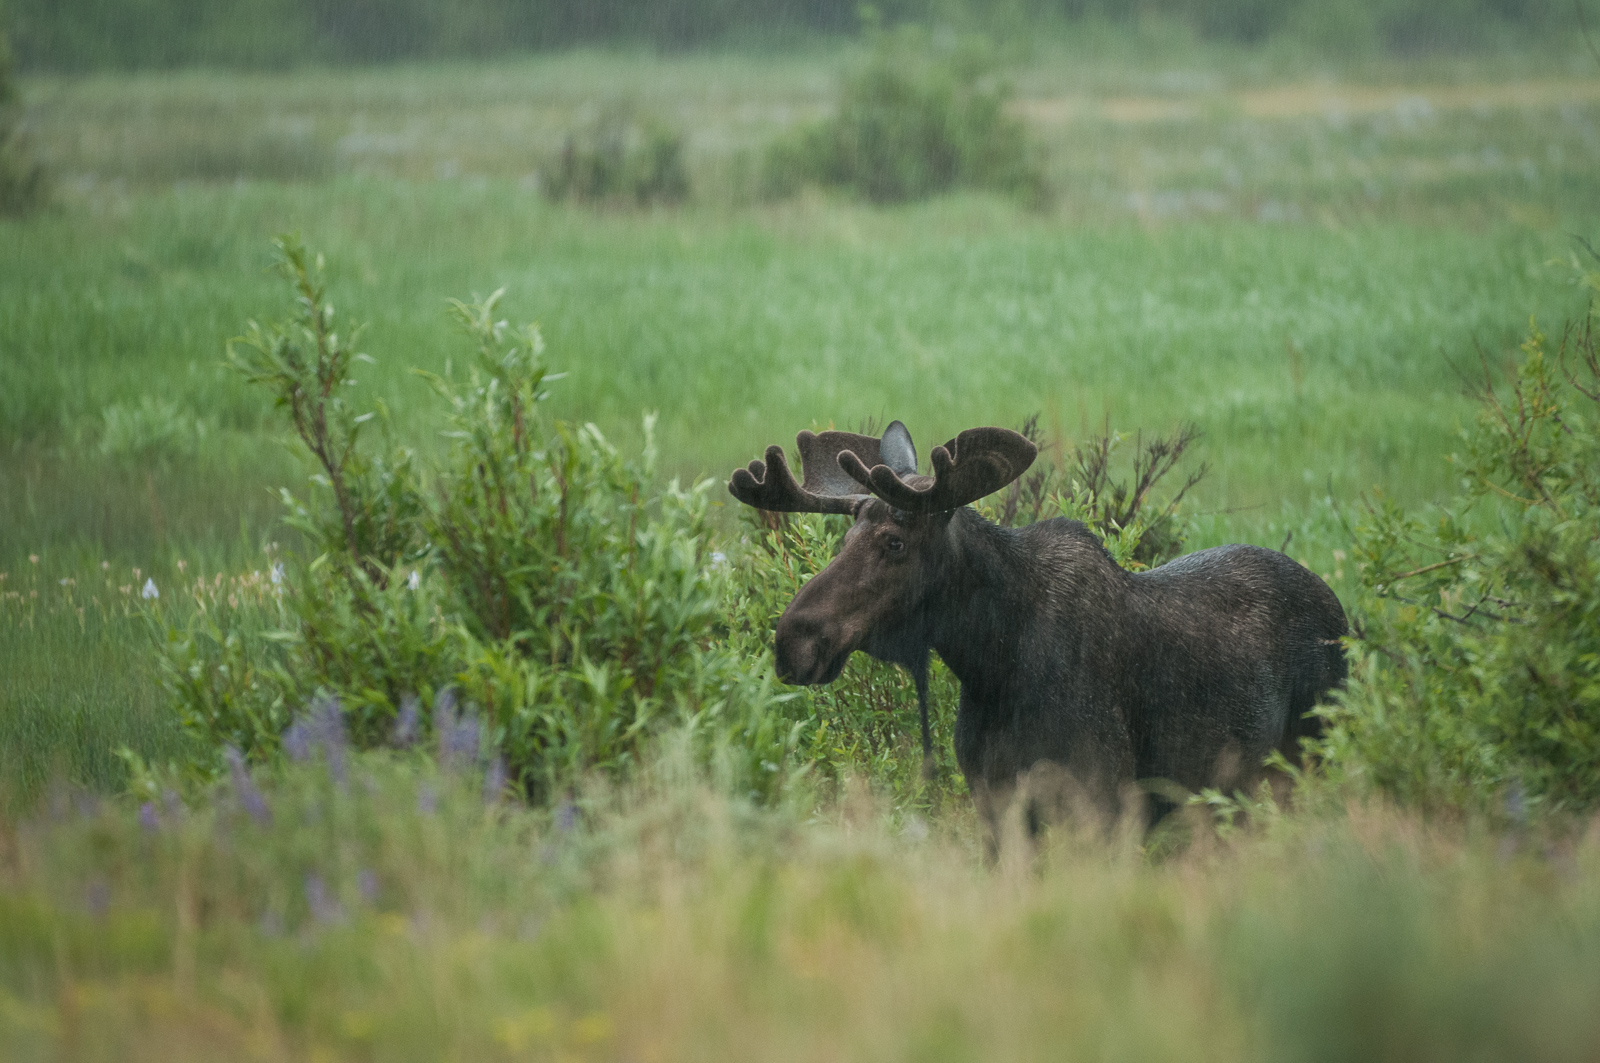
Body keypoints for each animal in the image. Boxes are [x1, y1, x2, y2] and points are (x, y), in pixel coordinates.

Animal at [732, 419, 1344, 851]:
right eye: (843, 540)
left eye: (895, 543)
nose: (793, 641)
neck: (993, 663)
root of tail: (1344, 616)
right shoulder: (995, 804)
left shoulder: (1105, 801)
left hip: (1307, 762)